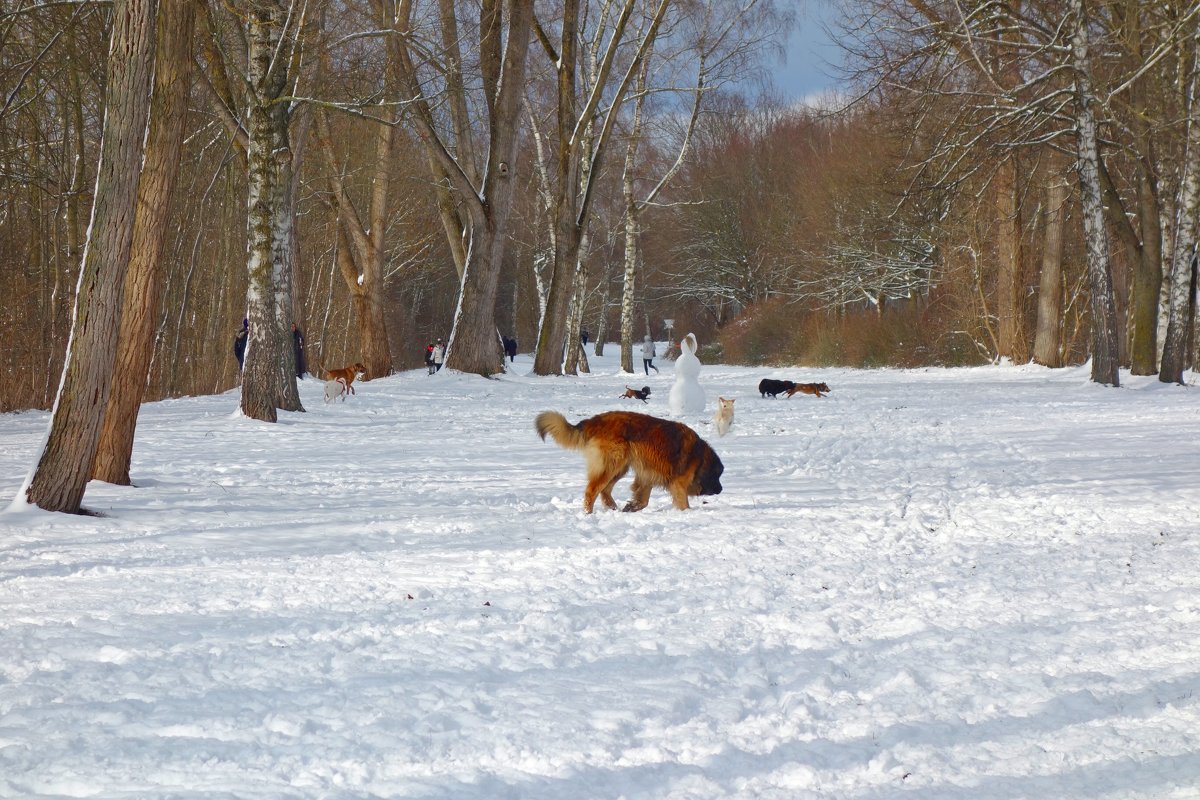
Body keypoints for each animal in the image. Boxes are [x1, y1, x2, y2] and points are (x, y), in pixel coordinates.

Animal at [535, 410, 720, 515]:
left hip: (620, 467)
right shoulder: (678, 484)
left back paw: (613, 508)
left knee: (605, 491)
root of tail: (594, 421)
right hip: (612, 464)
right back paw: (588, 514)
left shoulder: (646, 476)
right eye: (717, 475)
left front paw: (631, 507)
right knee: (592, 491)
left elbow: (643, 500)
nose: (720, 489)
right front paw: (687, 513)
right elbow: (683, 502)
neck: (699, 455)